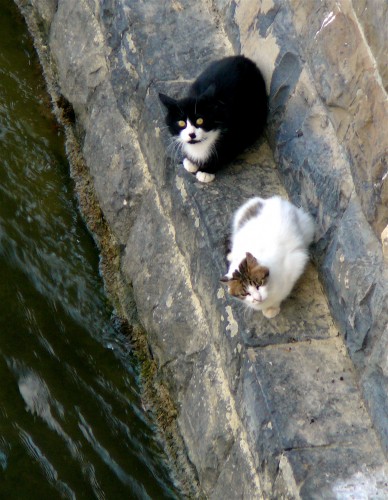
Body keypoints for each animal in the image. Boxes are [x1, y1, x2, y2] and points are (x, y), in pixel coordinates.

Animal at [158, 55, 266, 184]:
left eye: (200, 120)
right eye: (181, 123)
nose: (192, 134)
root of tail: (242, 58)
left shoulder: (236, 129)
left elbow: (226, 151)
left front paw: (206, 172)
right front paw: (190, 161)